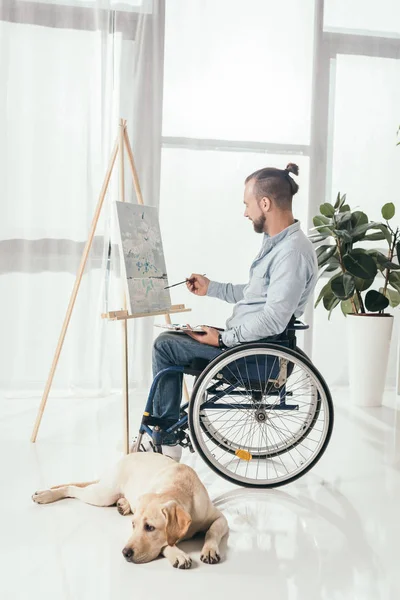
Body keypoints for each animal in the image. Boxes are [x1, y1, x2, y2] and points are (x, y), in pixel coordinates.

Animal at [31, 452, 228, 568]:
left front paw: (209, 549)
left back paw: (124, 504)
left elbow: (212, 531)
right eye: (133, 525)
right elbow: (166, 543)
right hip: (102, 495)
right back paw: (47, 494)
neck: (179, 488)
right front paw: (178, 554)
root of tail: (128, 455)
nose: (125, 553)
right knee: (72, 489)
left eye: (150, 527)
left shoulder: (221, 519)